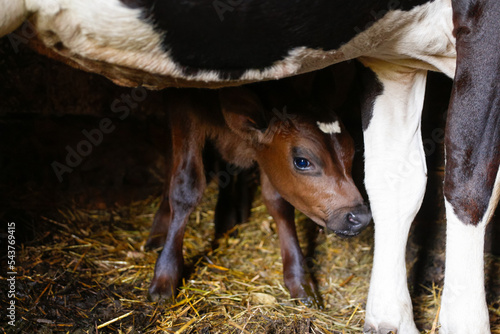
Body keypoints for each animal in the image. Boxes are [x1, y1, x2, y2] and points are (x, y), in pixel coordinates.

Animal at [1, 0, 498, 332]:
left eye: (351, 155)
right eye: (303, 160)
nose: (358, 216)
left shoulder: (392, 54)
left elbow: (384, 181)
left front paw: (302, 283)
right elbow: (469, 188)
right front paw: (164, 278)